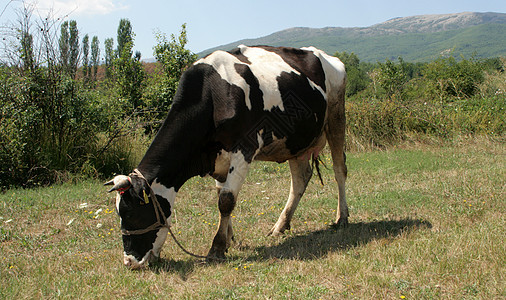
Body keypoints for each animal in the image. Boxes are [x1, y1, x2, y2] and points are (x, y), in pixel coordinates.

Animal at [104, 45, 348, 270]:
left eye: (132, 215)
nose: (130, 262)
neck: (213, 92)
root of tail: (323, 55)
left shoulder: (245, 147)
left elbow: (227, 200)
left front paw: (217, 247)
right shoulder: (218, 159)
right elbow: (220, 195)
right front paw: (230, 239)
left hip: (336, 117)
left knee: (339, 170)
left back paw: (342, 218)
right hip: (296, 141)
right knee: (300, 180)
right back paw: (280, 226)